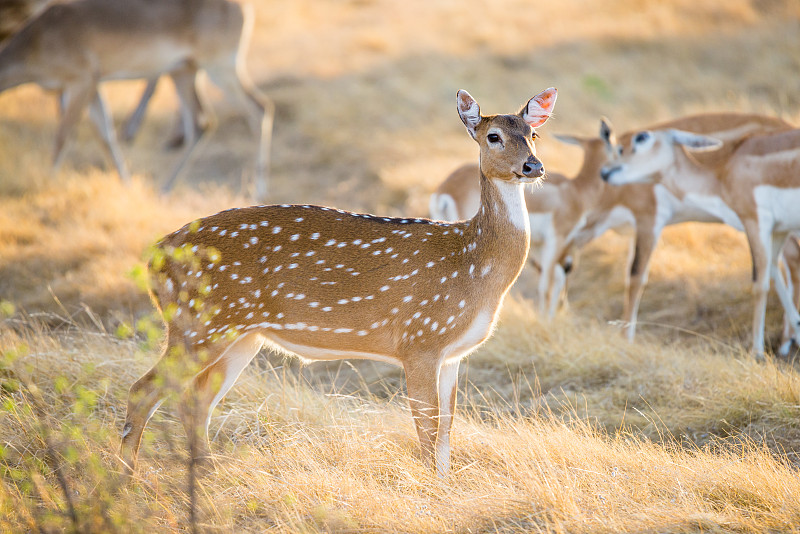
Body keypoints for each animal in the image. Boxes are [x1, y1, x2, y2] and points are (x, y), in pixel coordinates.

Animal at [0, 0, 274, 199]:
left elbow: (63, 136)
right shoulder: (93, 87)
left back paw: (258, 190)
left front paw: (48, 183)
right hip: (183, 72)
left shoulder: (80, 82)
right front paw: (127, 185)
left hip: (220, 67)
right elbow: (106, 136)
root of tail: (244, 7)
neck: (37, 39)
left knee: (258, 109)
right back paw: (164, 188)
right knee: (201, 123)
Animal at [119, 87, 560, 478]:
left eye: (533, 134)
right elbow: (427, 430)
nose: (533, 167)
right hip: (200, 324)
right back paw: (127, 479)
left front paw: (446, 487)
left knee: (197, 399)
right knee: (144, 391)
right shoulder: (419, 340)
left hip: (238, 334)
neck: (473, 265)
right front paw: (430, 492)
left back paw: (206, 474)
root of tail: (155, 258)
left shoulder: (453, 353)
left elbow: (448, 432)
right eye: (493, 136)